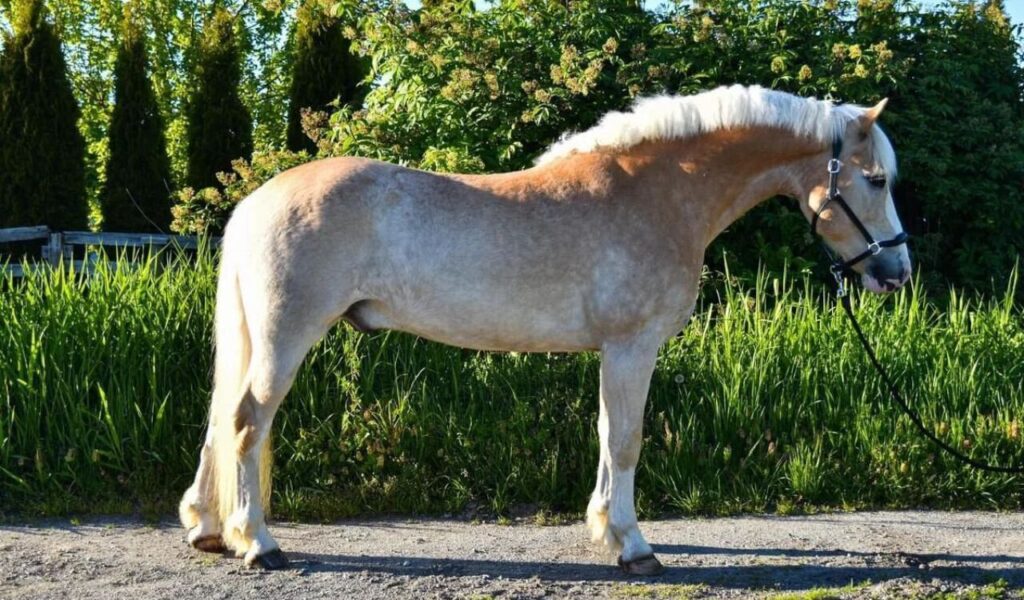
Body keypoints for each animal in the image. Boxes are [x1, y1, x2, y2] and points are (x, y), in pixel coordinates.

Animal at [178, 84, 911, 575]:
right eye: (875, 179)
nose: (897, 271)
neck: (659, 193)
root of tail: (257, 201)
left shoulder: (613, 352)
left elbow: (605, 435)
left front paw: (604, 530)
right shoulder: (632, 347)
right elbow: (626, 440)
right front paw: (634, 548)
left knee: (219, 423)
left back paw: (211, 531)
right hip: (285, 338)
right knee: (245, 423)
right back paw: (258, 544)